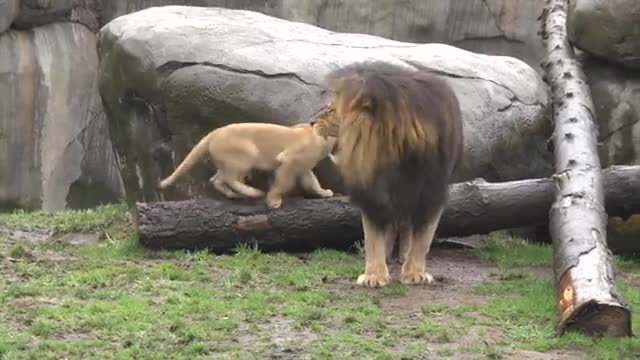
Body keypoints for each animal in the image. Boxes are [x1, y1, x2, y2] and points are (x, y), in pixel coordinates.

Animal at [322, 61, 462, 286]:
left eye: (332, 110)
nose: (311, 122)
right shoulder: (372, 194)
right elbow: (373, 237)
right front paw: (374, 276)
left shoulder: (431, 193)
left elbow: (423, 238)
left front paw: (414, 273)